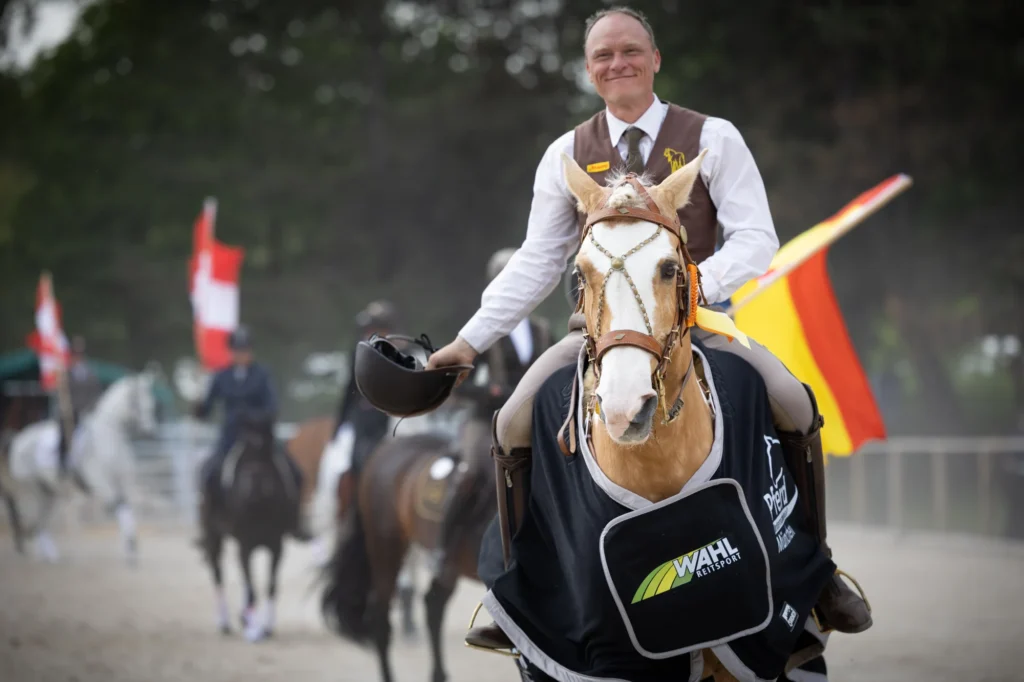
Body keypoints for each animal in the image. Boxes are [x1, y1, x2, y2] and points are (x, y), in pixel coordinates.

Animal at [1, 368, 158, 561]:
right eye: (136, 400)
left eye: (151, 400)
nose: (151, 432)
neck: (110, 436)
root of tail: (18, 439)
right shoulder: (102, 484)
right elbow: (118, 506)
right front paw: (130, 548)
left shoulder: (124, 483)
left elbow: (127, 508)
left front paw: (131, 547)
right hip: (31, 492)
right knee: (30, 520)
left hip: (48, 493)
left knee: (38, 523)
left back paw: (49, 556)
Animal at [197, 405, 296, 638]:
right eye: (245, 450)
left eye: (269, 447)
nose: (255, 488)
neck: (259, 507)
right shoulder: (245, 545)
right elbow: (252, 588)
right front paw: (252, 628)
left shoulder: (276, 546)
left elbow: (270, 585)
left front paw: (266, 625)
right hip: (213, 537)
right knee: (218, 574)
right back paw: (225, 622)